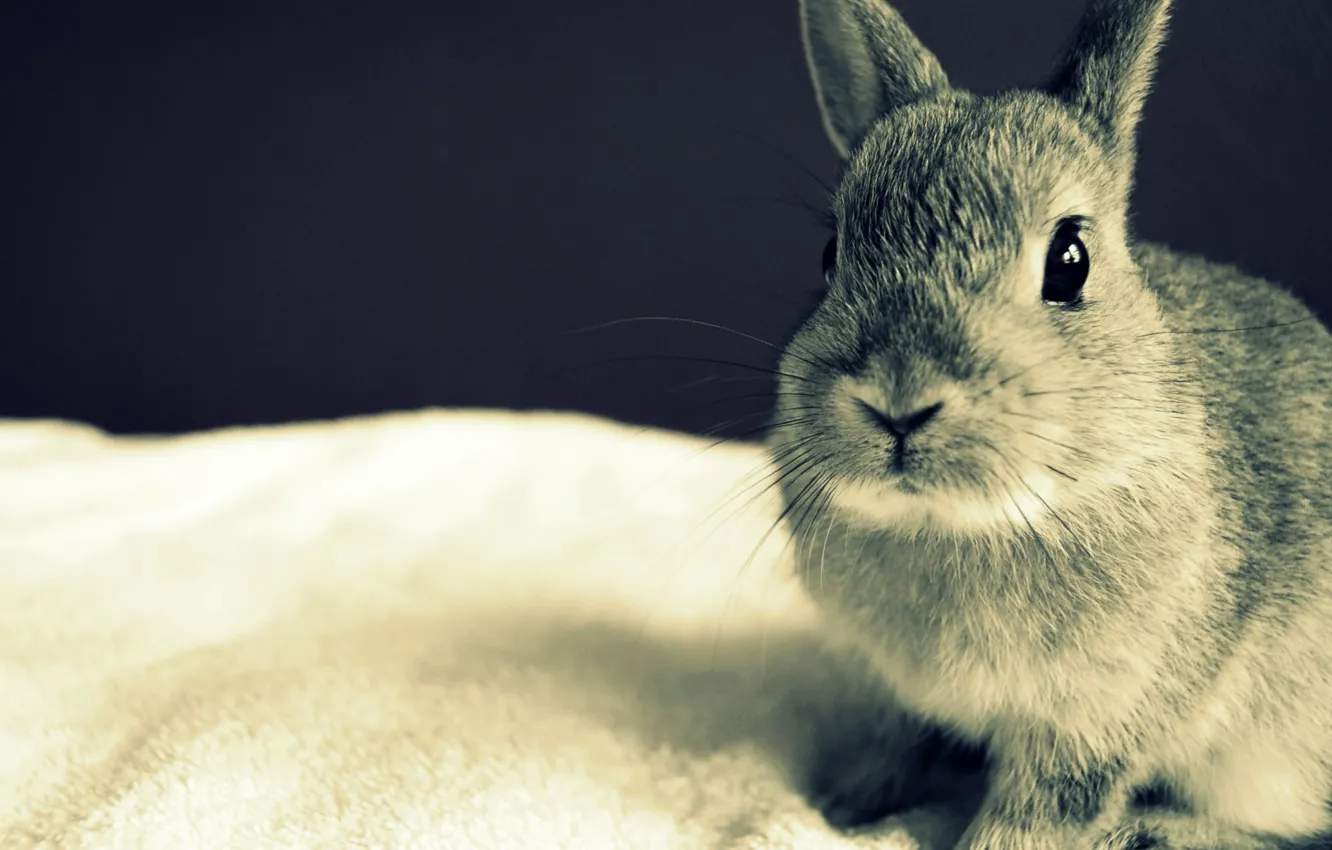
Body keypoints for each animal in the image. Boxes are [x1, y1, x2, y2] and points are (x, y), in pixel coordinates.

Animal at [766, 0, 1332, 848]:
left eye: (1070, 260)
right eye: (832, 255)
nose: (899, 400)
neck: (958, 524)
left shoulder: (1094, 722)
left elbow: (1034, 816)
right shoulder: (901, 700)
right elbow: (896, 746)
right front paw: (844, 807)